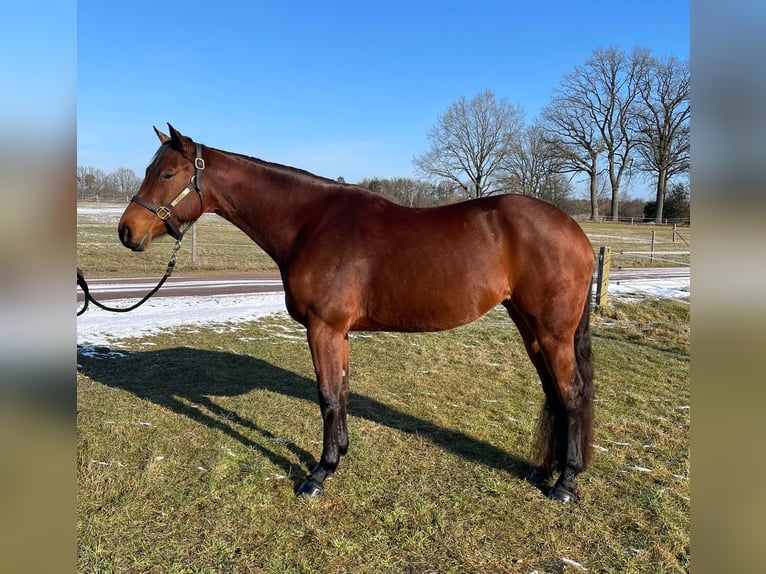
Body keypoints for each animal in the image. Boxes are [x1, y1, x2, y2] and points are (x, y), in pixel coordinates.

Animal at [118, 125, 595, 503]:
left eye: (167, 173)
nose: (127, 232)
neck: (310, 224)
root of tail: (576, 232)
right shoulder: (338, 333)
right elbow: (342, 393)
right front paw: (338, 458)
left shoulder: (323, 328)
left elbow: (328, 397)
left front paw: (318, 474)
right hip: (530, 328)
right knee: (554, 394)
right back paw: (544, 471)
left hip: (552, 333)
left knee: (571, 395)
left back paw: (565, 484)